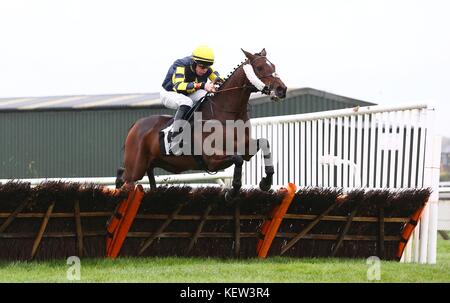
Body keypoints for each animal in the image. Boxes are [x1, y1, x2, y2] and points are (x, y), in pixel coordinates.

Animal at [115, 48, 284, 202]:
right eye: (259, 67)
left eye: (274, 66)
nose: (281, 89)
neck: (227, 113)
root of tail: (136, 124)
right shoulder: (212, 160)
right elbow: (237, 159)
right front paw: (232, 192)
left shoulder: (246, 149)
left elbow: (264, 144)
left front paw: (265, 183)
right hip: (135, 169)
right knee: (123, 179)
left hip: (148, 165)